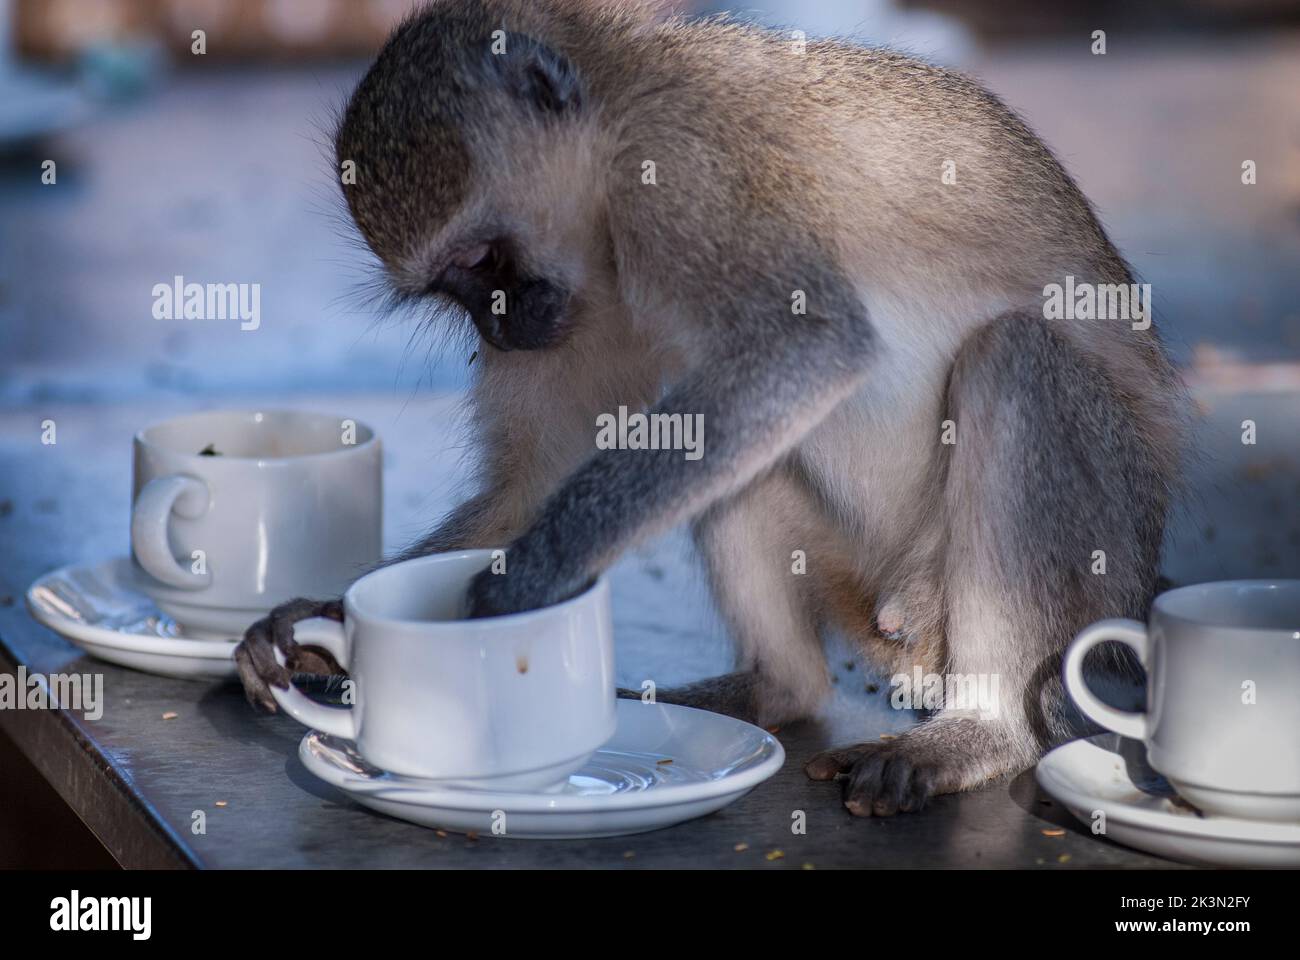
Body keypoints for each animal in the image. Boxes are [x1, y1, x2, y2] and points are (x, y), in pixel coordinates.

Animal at [233, 0, 1190, 816]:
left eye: (480, 260)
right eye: (453, 287)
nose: (499, 329)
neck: (616, 109)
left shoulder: (679, 178)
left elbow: (805, 349)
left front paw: (526, 583)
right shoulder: (582, 307)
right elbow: (536, 482)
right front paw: (314, 623)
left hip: (1087, 558)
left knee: (1014, 362)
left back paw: (978, 733)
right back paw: (774, 688)